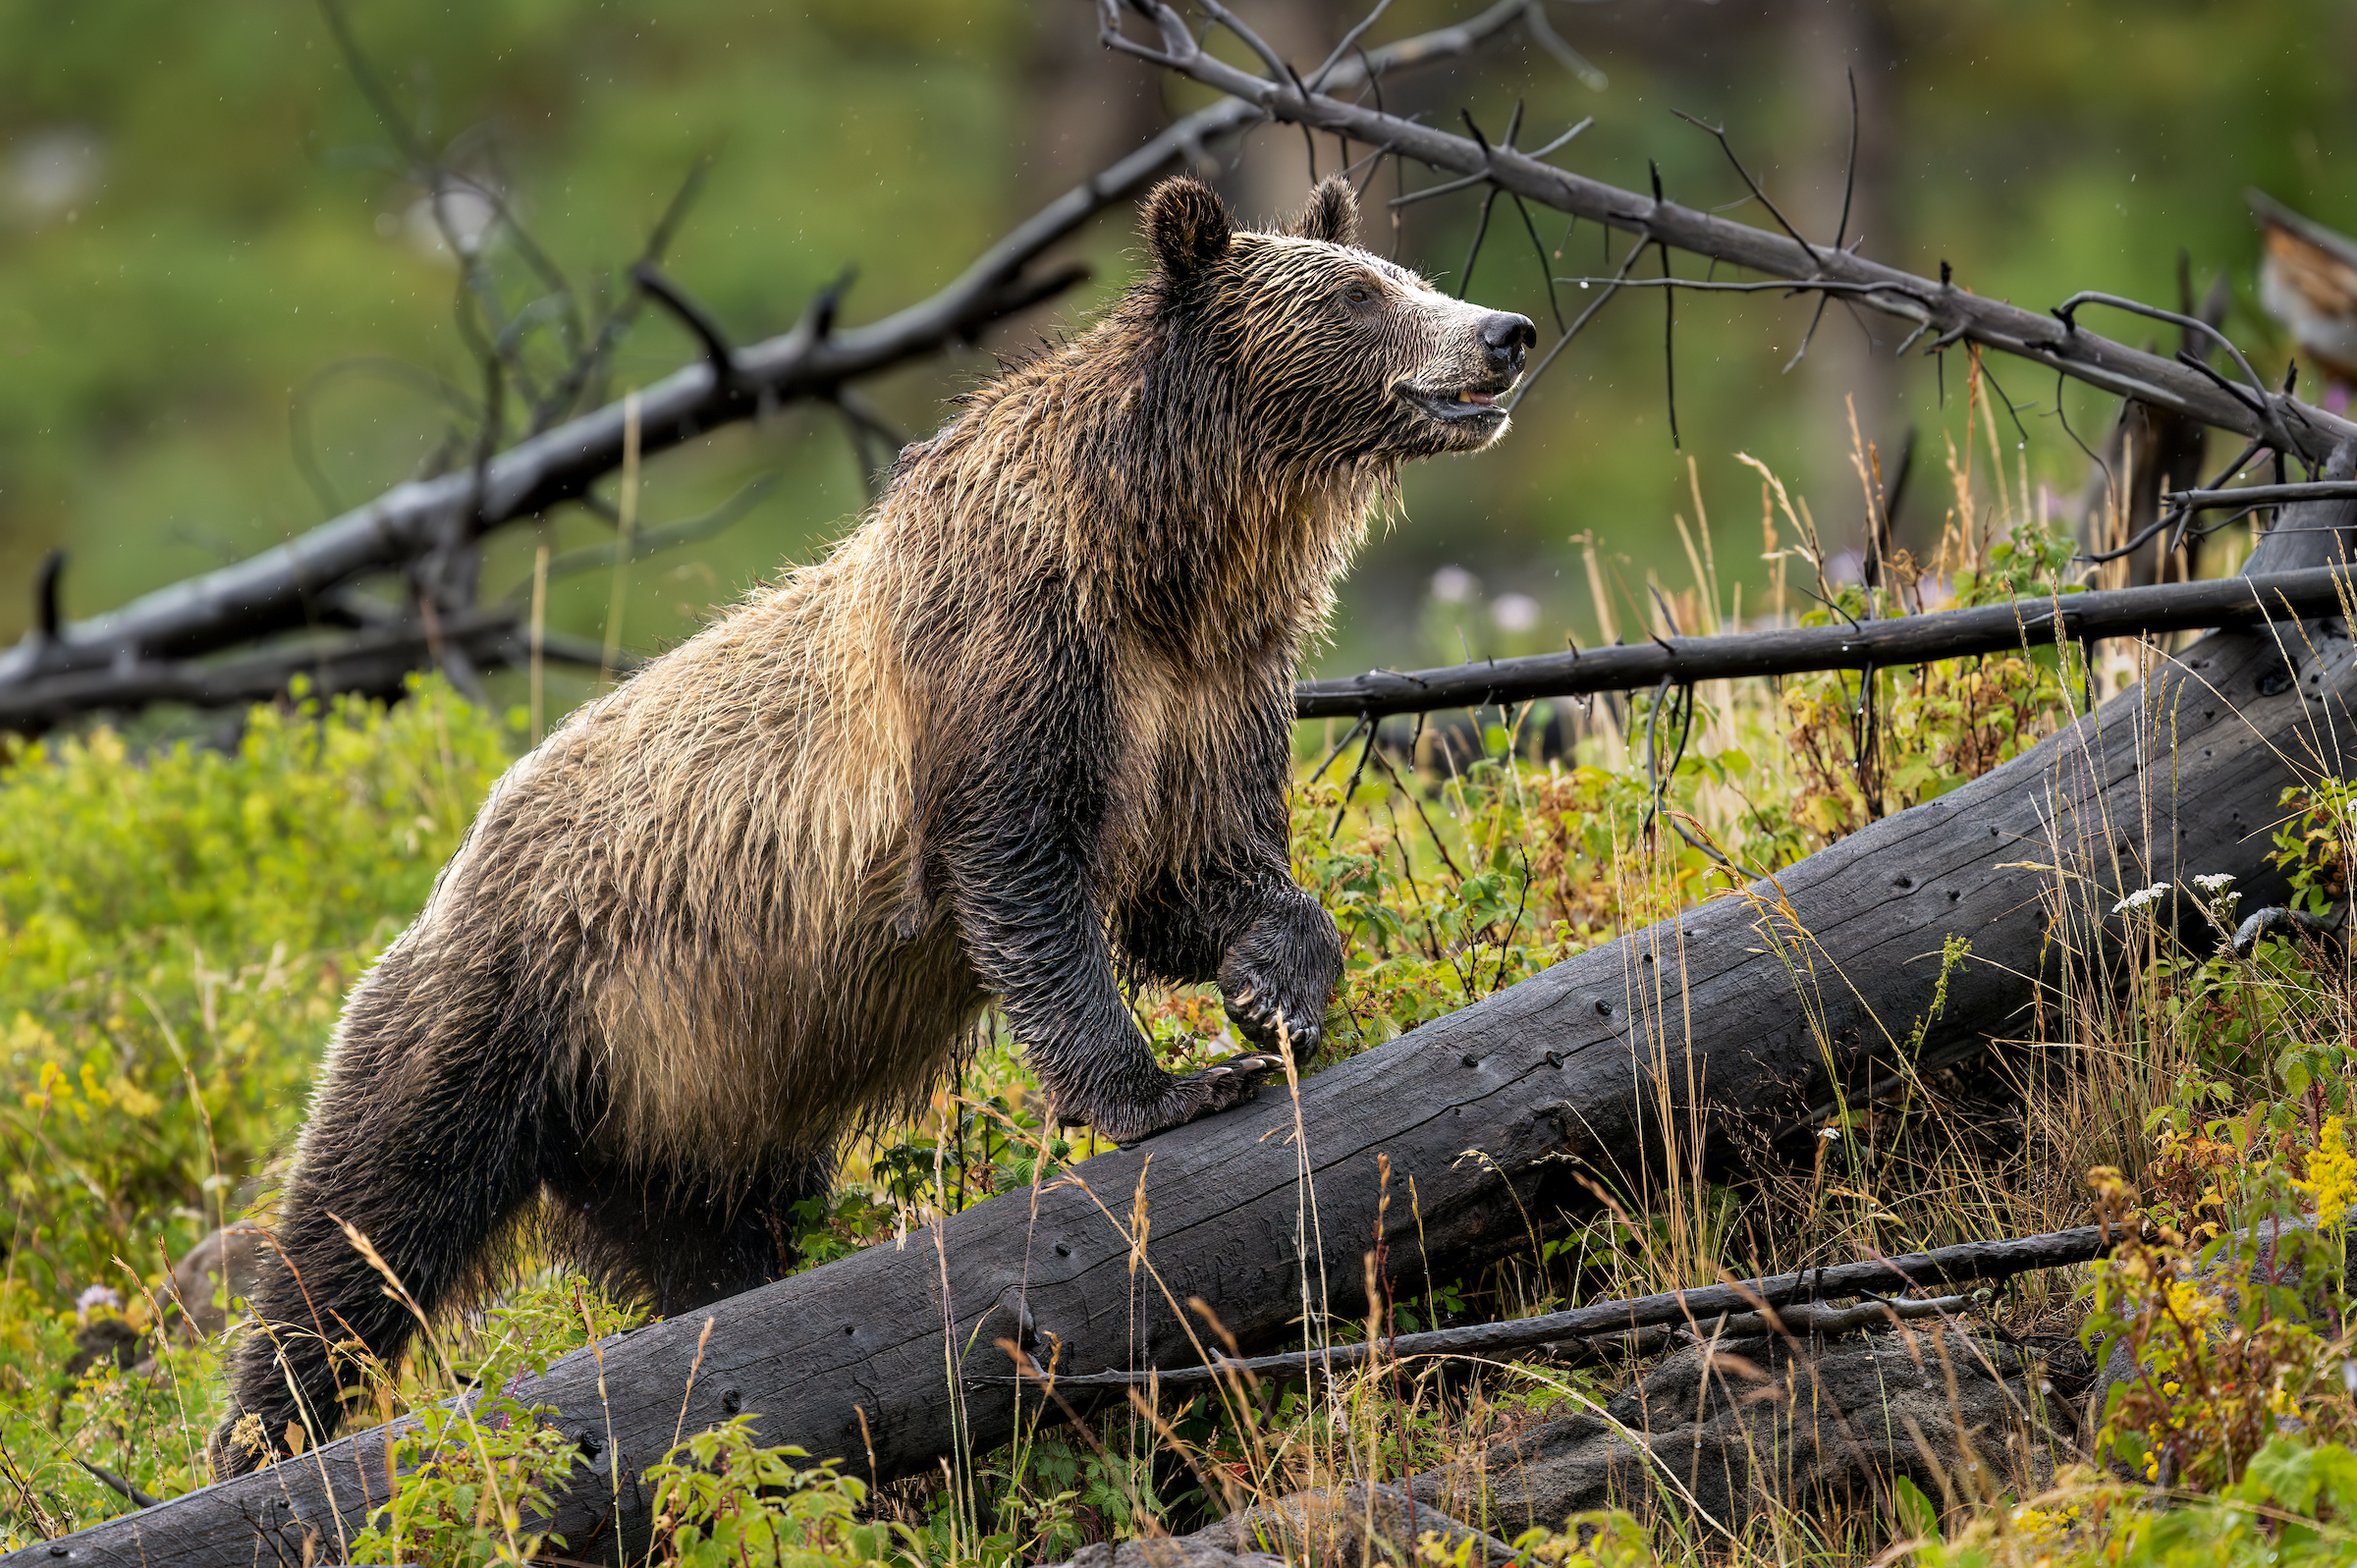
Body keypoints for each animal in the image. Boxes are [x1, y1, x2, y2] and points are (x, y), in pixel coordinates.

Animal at [212, 171, 1536, 1471]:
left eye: (1408, 271)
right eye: (1362, 295)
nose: (1504, 331)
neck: (1161, 561)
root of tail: (451, 876)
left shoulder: (1211, 696)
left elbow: (1204, 875)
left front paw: (1275, 992)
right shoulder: (1012, 656)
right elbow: (1024, 871)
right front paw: (1167, 1087)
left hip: (681, 1105)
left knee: (710, 1252)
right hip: (506, 1012)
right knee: (363, 1224)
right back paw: (260, 1434)